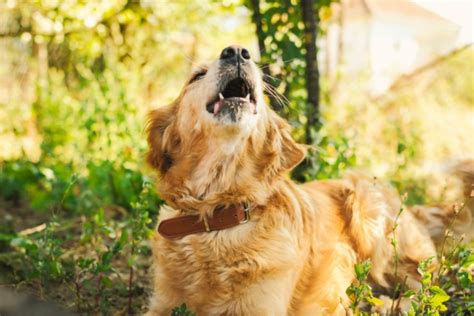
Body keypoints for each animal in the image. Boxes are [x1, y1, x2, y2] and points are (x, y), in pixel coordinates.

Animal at [145, 45, 474, 314]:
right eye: (196, 76)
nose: (237, 51)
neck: (217, 216)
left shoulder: (261, 308)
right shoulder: (162, 305)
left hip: (366, 201)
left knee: (427, 285)